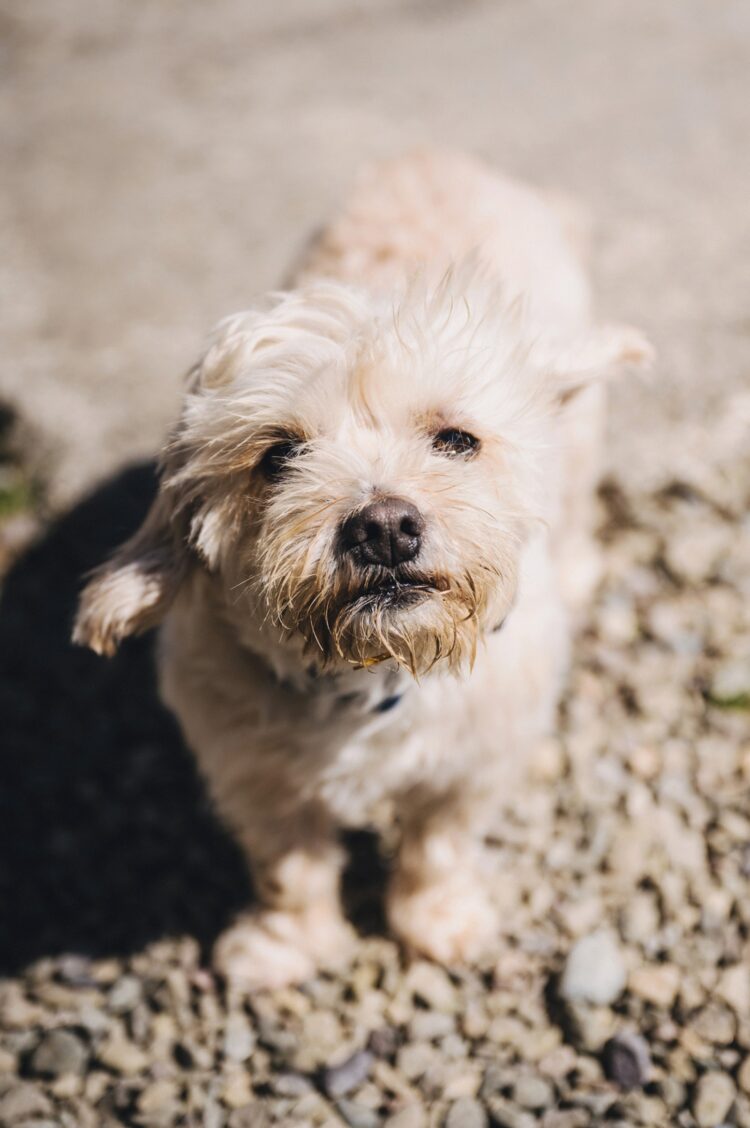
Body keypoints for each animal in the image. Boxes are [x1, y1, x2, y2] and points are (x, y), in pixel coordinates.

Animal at [74, 147, 649, 988]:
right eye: (277, 456)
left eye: (457, 439)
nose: (383, 528)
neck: (368, 681)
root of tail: (444, 157)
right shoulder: (253, 772)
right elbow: (290, 864)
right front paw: (286, 945)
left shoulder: (472, 762)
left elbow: (439, 847)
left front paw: (438, 924)